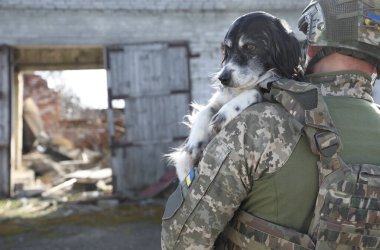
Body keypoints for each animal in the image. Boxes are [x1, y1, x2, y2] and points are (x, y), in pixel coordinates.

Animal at [168, 11, 302, 181]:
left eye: (250, 47)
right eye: (227, 49)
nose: (222, 78)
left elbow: (256, 92)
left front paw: (225, 113)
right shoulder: (219, 99)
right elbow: (206, 110)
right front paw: (195, 141)